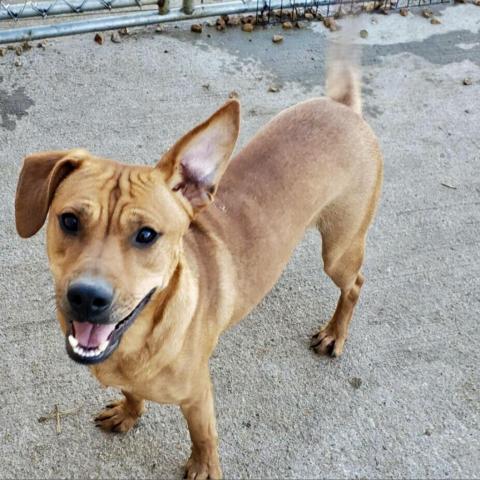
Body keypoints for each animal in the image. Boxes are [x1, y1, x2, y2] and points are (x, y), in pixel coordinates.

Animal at [15, 50, 382, 478]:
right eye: (70, 221)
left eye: (146, 234)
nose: (87, 297)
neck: (139, 340)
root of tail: (341, 107)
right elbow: (133, 393)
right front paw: (129, 412)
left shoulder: (197, 395)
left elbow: (202, 436)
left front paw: (203, 466)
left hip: (339, 251)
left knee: (354, 285)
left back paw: (335, 334)